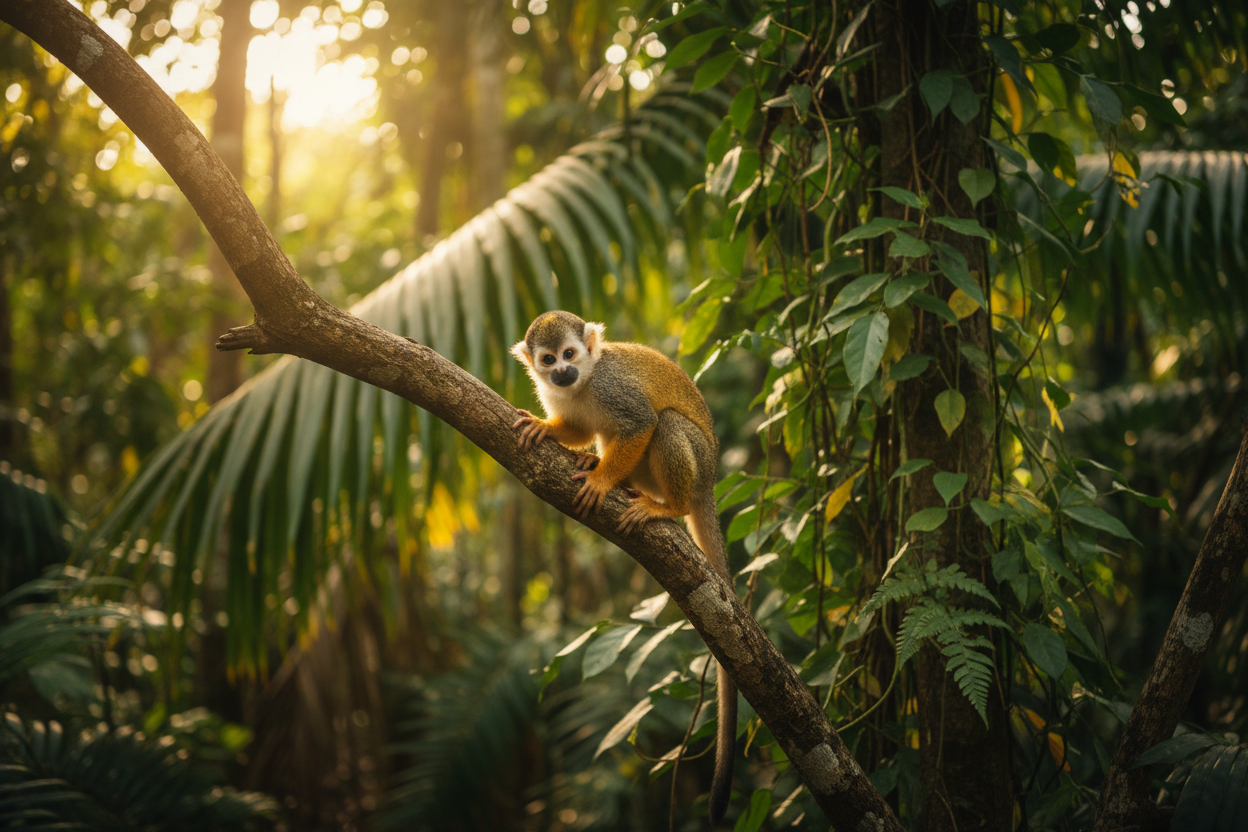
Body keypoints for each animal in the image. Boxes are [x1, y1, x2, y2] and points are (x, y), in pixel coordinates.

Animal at [510, 310, 736, 826]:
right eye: (548, 361)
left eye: (570, 354)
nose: (561, 372)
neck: (584, 383)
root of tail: (710, 483)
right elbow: (575, 425)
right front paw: (548, 430)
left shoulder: (614, 387)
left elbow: (641, 424)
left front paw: (601, 481)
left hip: (699, 464)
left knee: (666, 424)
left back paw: (665, 506)